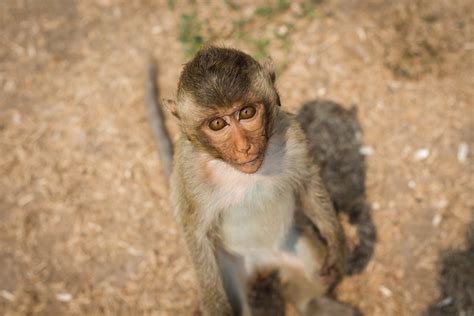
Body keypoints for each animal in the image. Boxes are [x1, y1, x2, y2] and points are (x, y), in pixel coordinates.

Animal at [146, 45, 354, 314]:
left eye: (246, 112)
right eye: (217, 123)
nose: (244, 147)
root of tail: (263, 262)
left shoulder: (292, 134)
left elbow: (308, 184)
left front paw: (337, 247)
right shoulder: (189, 173)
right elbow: (196, 234)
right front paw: (217, 308)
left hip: (289, 244)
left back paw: (314, 303)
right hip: (230, 267)